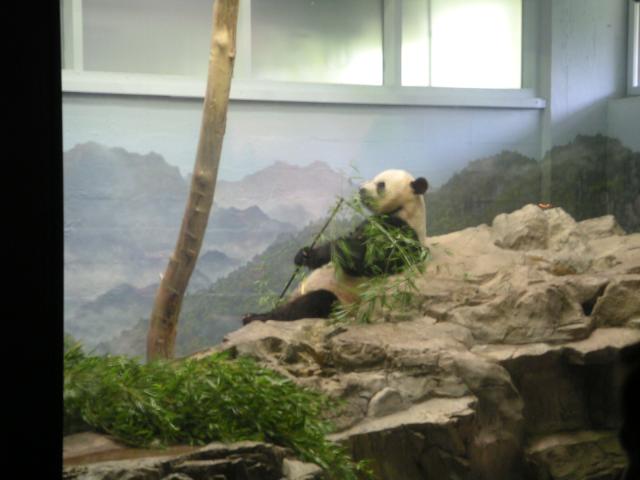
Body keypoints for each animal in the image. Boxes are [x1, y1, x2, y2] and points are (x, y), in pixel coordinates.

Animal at [242, 169, 429, 325]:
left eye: (381, 184)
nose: (361, 189)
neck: (404, 209)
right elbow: (353, 237)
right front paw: (303, 254)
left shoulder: (400, 232)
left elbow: (370, 258)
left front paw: (320, 253)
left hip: (341, 303)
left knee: (314, 302)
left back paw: (259, 317)